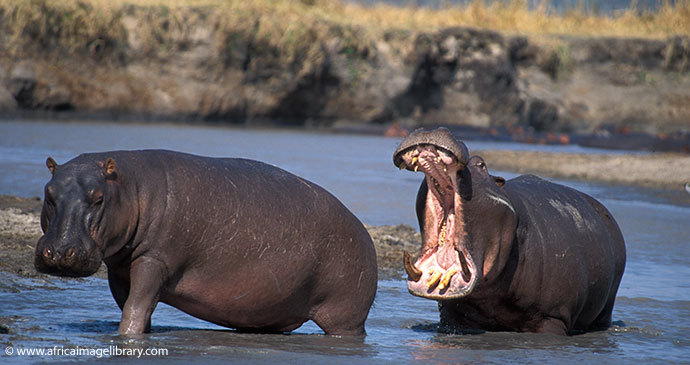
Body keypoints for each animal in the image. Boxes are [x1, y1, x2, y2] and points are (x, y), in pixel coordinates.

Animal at [33, 150, 376, 336]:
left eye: (98, 197)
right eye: (49, 193)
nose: (60, 251)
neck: (131, 187)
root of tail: (362, 228)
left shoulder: (154, 260)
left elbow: (135, 307)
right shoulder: (119, 267)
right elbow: (134, 308)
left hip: (345, 316)